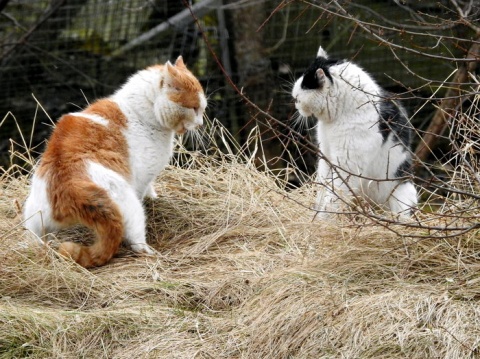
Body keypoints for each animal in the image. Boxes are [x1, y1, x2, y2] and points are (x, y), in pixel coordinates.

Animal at [23, 57, 206, 268]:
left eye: (203, 108)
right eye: (194, 108)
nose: (201, 123)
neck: (141, 111)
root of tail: (67, 188)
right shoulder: (143, 177)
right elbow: (147, 189)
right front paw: (152, 198)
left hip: (32, 214)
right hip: (128, 202)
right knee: (135, 240)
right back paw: (149, 251)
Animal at [292, 46, 416, 218]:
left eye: (297, 98)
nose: (295, 105)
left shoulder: (347, 165)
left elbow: (333, 196)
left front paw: (322, 220)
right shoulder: (326, 156)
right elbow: (323, 188)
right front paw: (316, 213)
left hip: (402, 190)